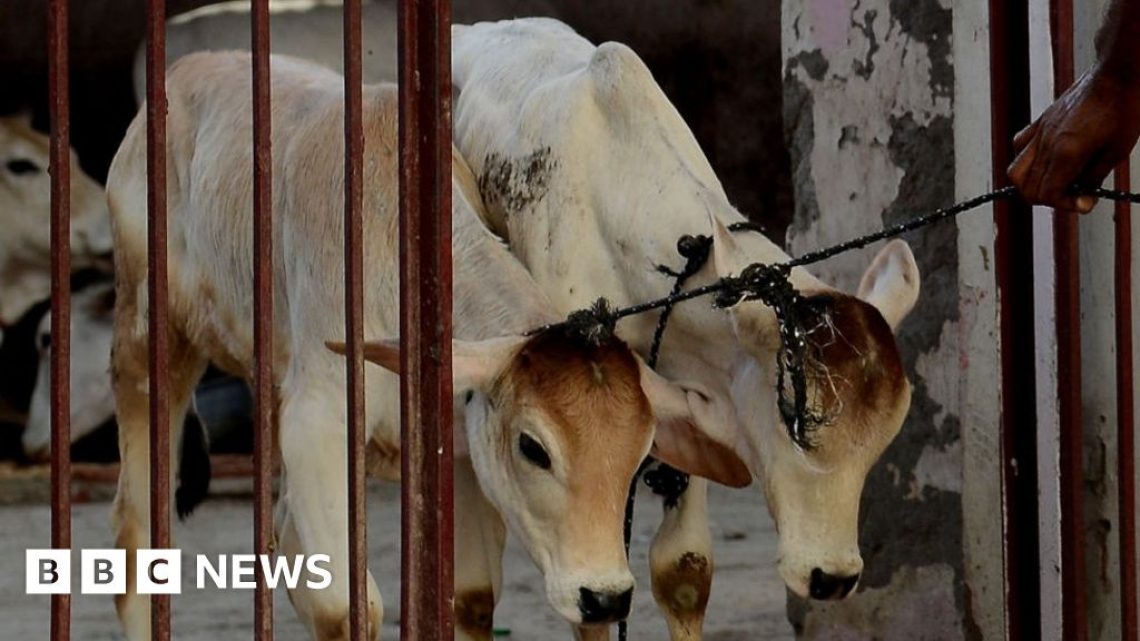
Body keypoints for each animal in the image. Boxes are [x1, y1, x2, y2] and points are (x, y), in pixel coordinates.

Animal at [105, 51, 749, 641]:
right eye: (533, 448)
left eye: (641, 456)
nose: (605, 597)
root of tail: (186, 68)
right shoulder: (317, 424)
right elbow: (346, 609)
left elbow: (467, 597)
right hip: (147, 343)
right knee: (136, 538)